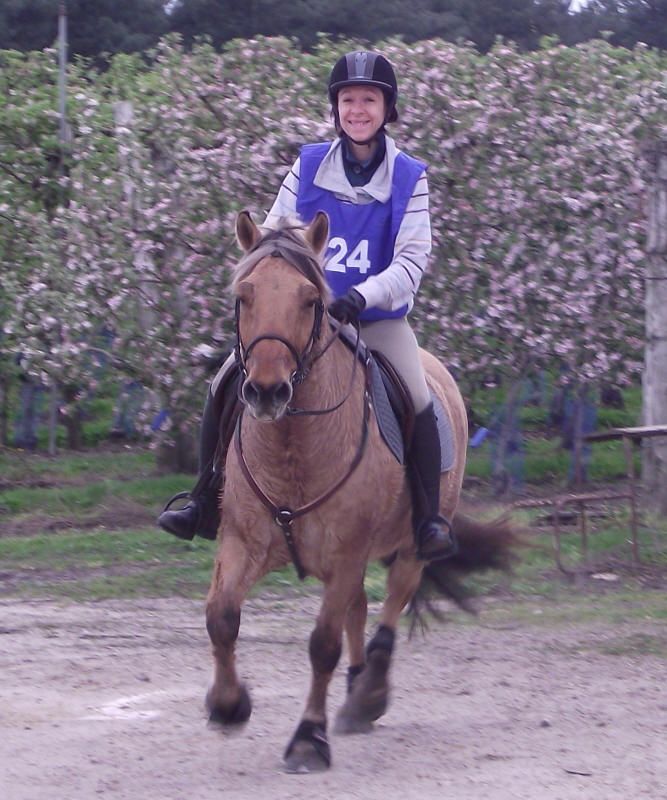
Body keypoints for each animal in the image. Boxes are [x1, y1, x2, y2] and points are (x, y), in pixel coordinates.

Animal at [204, 211, 519, 772]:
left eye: (311, 300)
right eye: (244, 296)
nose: (266, 392)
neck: (293, 448)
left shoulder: (347, 553)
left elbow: (322, 644)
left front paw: (309, 738)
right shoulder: (244, 541)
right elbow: (221, 617)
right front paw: (228, 705)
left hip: (412, 545)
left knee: (392, 604)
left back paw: (368, 694)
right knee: (358, 609)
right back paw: (354, 689)